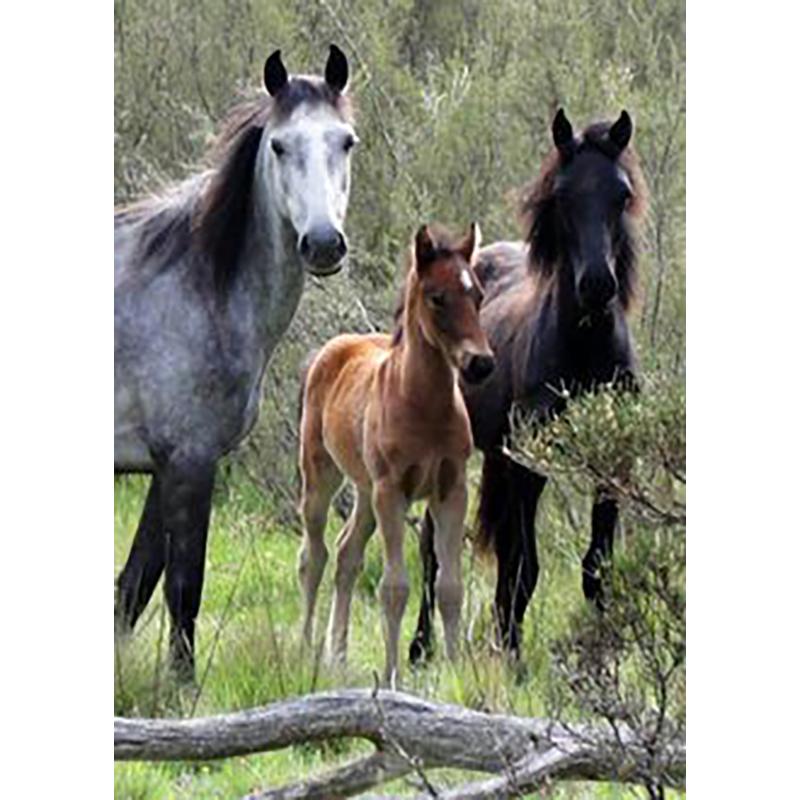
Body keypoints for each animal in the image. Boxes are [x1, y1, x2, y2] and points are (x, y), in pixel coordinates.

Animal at [114, 45, 358, 679]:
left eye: (346, 141)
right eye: (279, 146)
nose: (323, 243)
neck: (198, 285)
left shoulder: (165, 466)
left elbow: (133, 586)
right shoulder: (190, 461)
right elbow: (182, 587)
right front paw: (181, 687)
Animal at [297, 223, 494, 684]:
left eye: (478, 294)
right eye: (437, 297)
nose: (480, 364)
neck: (424, 406)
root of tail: (336, 346)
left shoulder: (451, 491)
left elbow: (449, 587)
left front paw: (454, 676)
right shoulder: (393, 491)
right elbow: (394, 588)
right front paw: (391, 677)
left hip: (365, 492)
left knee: (347, 554)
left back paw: (338, 655)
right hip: (323, 477)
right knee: (314, 555)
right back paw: (306, 648)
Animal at [409, 109, 647, 664]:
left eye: (621, 193)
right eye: (562, 196)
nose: (597, 285)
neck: (585, 354)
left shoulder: (612, 466)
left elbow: (594, 568)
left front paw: (603, 660)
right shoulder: (529, 465)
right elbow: (523, 566)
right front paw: (512, 656)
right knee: (432, 549)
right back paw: (420, 647)